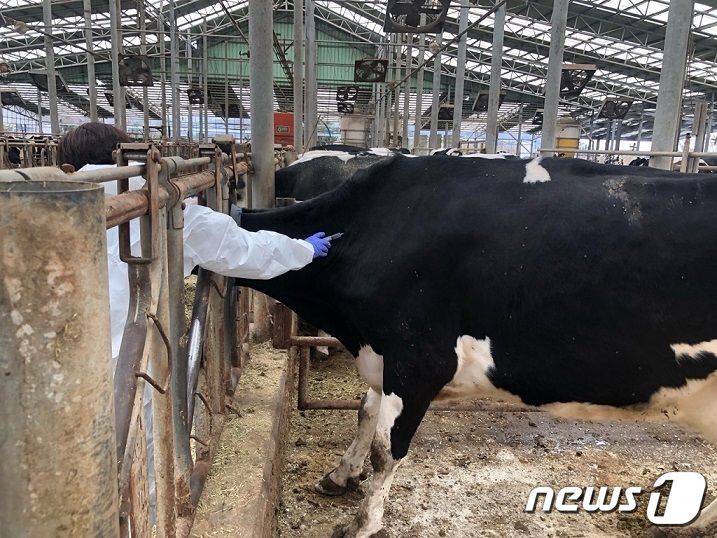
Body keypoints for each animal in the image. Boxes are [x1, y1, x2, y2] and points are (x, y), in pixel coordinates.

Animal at [235, 155, 717, 537]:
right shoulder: (382, 354)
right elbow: (365, 414)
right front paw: (340, 475)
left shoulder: (419, 357)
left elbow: (386, 449)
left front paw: (362, 523)